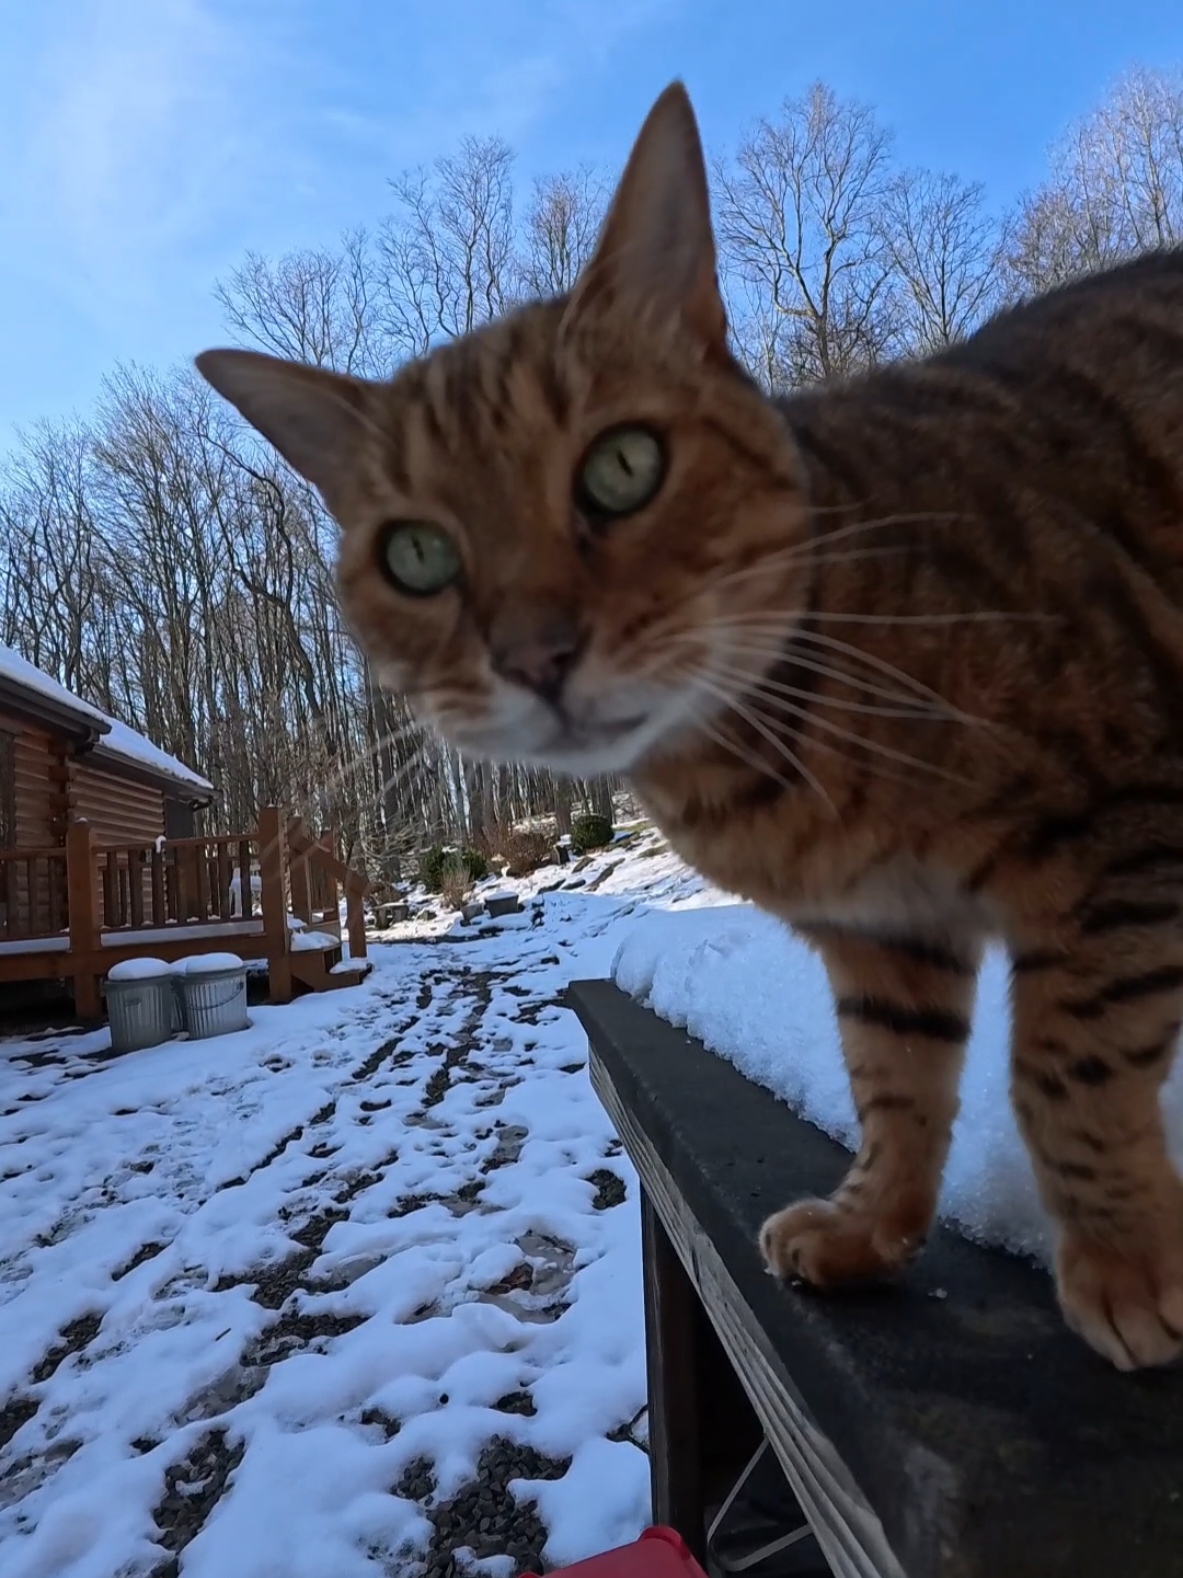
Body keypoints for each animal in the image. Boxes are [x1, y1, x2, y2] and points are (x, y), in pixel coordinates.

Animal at [197, 83, 1183, 1369]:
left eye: (623, 466)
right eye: (415, 554)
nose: (535, 654)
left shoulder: (1115, 826)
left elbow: (1068, 1068)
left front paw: (1124, 1262)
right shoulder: (888, 934)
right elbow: (893, 1084)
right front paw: (869, 1226)